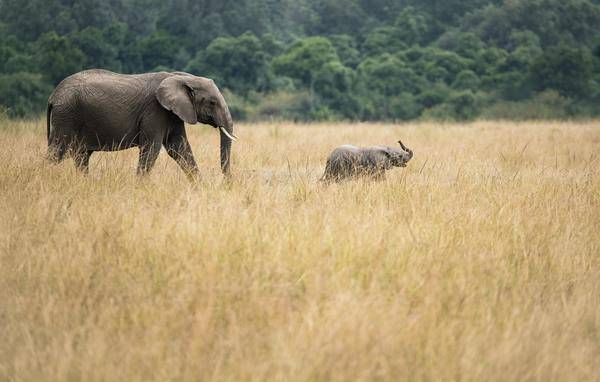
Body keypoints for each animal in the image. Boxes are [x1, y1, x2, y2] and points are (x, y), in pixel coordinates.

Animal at [46, 69, 237, 178]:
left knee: (81, 155)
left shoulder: (172, 113)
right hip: (67, 115)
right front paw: (139, 186)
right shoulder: (155, 110)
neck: (182, 77)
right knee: (57, 152)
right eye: (212, 102)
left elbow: (179, 148)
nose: (226, 183)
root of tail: (53, 96)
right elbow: (152, 148)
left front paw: (199, 187)